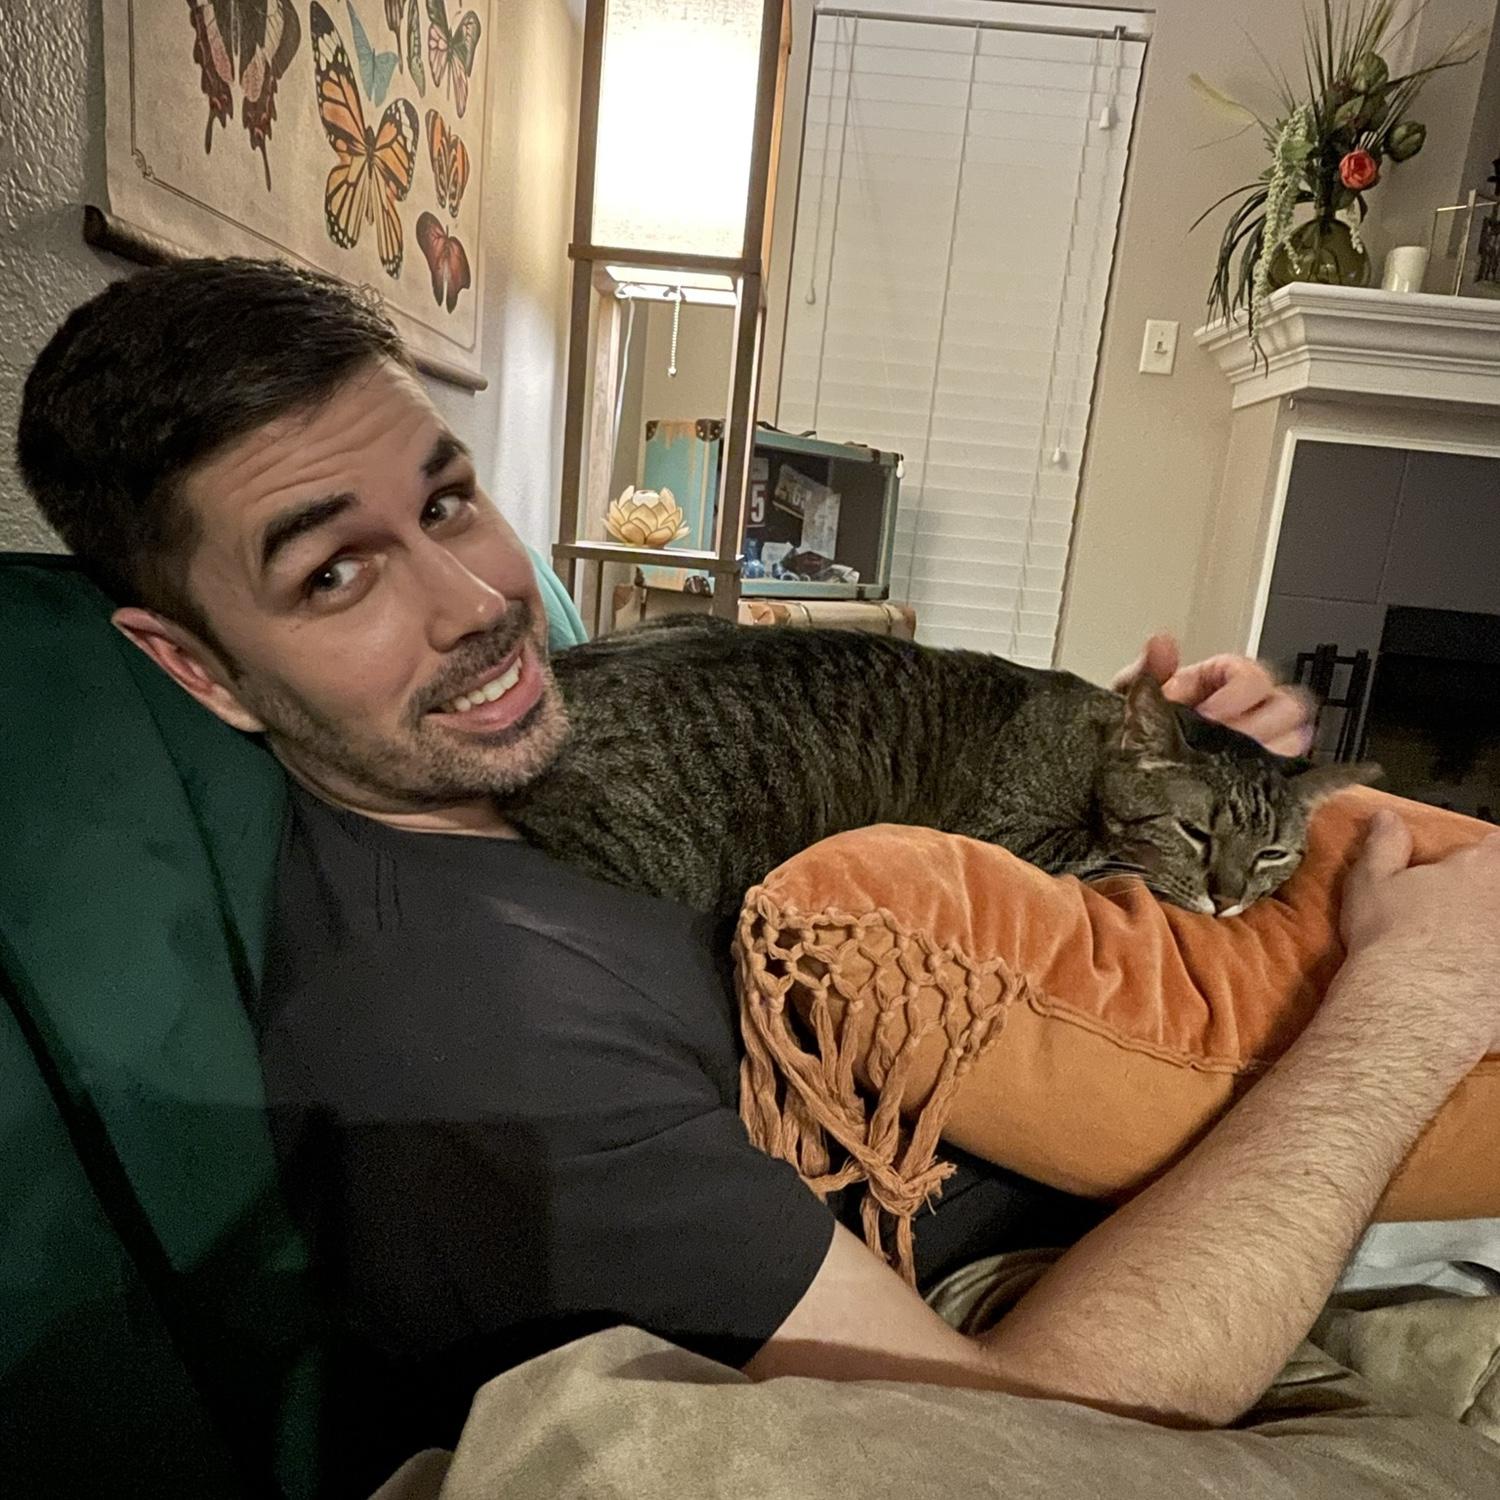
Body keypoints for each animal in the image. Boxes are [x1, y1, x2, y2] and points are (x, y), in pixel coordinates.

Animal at [503, 618, 1378, 918]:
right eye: (1197, 833)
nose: (1230, 901)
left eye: (1273, 854)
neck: (1088, 745)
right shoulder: (1017, 836)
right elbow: (1113, 852)